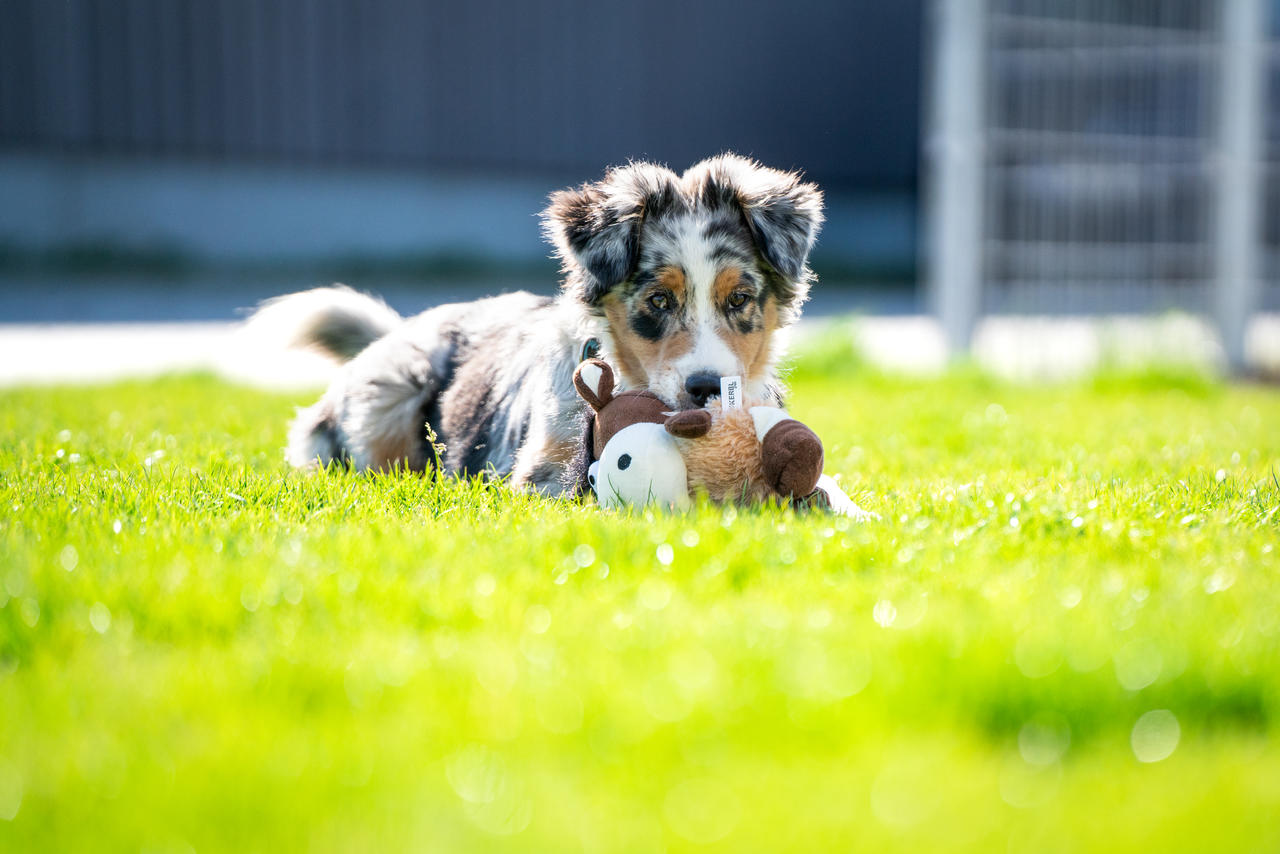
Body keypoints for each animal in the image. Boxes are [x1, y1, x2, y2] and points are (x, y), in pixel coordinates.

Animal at [249, 154, 829, 501]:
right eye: (659, 300)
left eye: (739, 299)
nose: (707, 388)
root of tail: (398, 329)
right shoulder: (542, 472)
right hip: (389, 393)